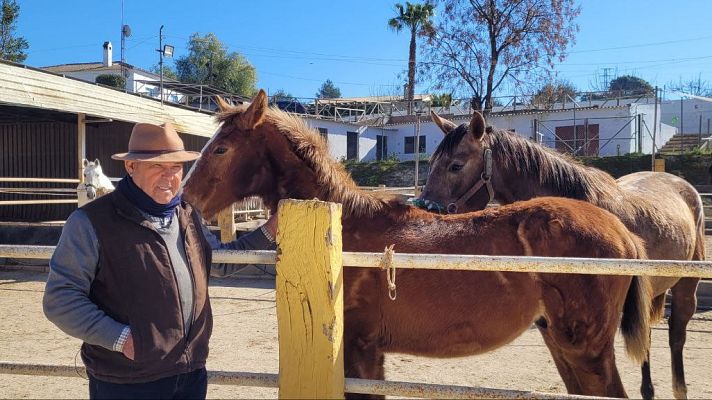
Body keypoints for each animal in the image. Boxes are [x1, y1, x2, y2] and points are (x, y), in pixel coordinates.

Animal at [183, 90, 653, 398]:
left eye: (221, 148)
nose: (185, 201)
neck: (345, 224)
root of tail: (624, 232)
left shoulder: (359, 351)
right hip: (561, 343)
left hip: (586, 348)